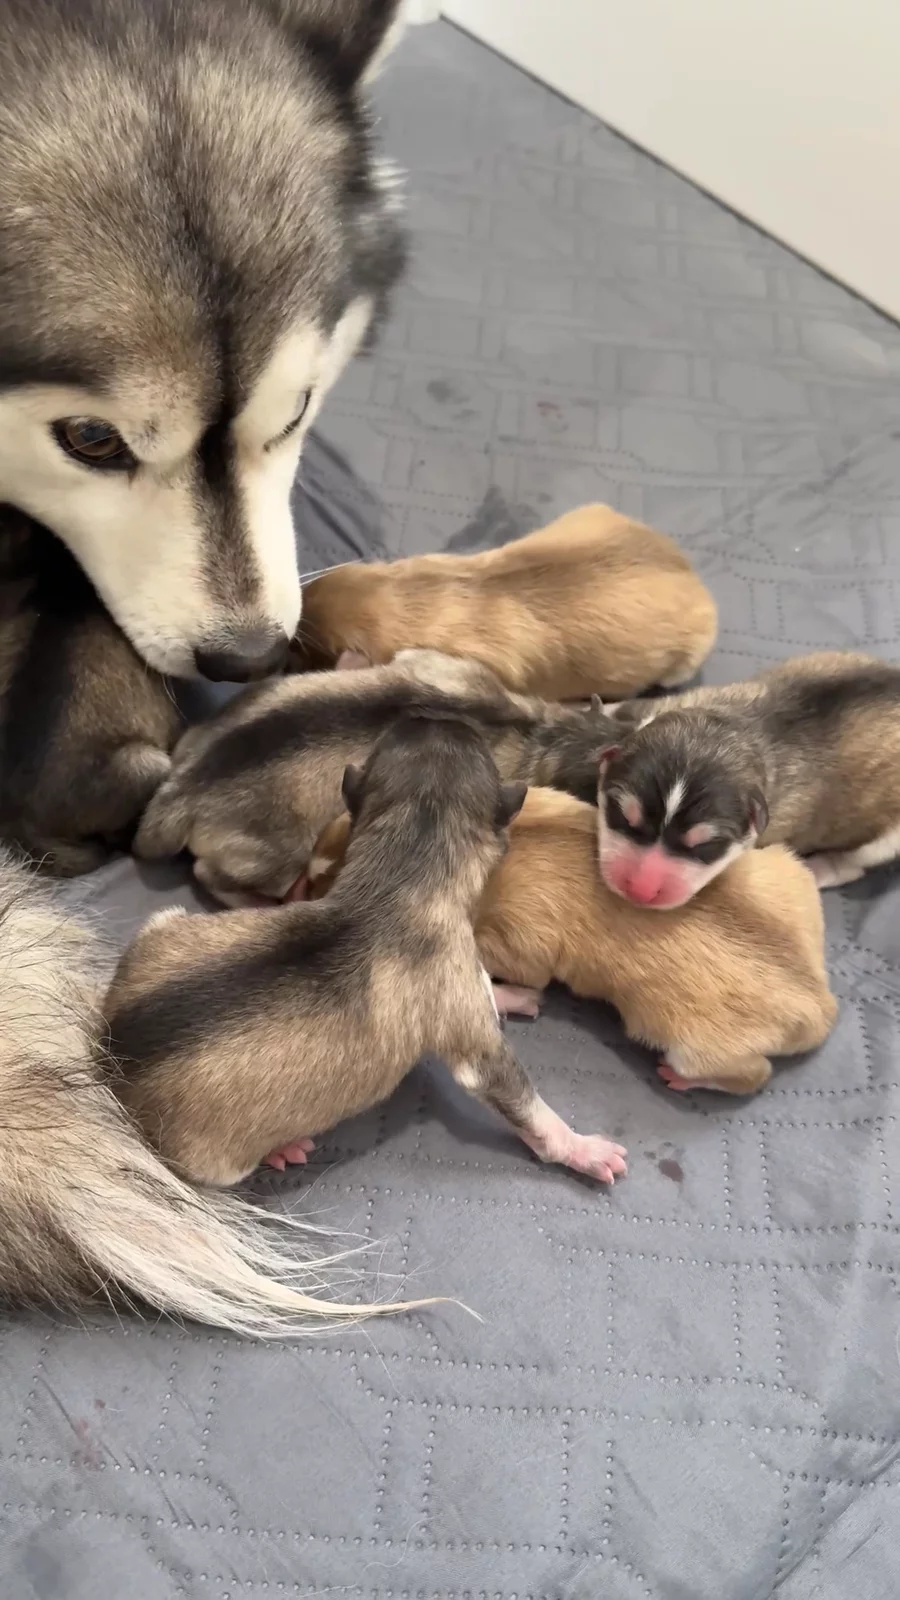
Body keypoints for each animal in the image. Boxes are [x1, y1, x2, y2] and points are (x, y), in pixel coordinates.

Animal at [107, 716, 628, 1183]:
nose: (440, 713)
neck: (402, 869)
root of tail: (107, 1056)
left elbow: (481, 984)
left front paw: (508, 994)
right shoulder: (479, 1057)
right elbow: (525, 1104)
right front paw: (581, 1149)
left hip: (164, 922)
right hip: (214, 1163)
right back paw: (280, 1149)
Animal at [135, 648, 618, 903]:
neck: (548, 733)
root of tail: (181, 791)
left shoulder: (438, 663)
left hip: (203, 730)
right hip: (274, 856)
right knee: (213, 875)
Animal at [308, 786, 837, 1096]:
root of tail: (822, 1005)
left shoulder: (519, 940)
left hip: (696, 1048)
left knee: (751, 1077)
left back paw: (681, 1080)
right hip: (784, 868)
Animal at [598, 651, 900, 906]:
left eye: (706, 846)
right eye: (623, 817)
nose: (640, 892)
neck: (724, 731)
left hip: (882, 841)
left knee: (852, 865)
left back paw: (817, 868)